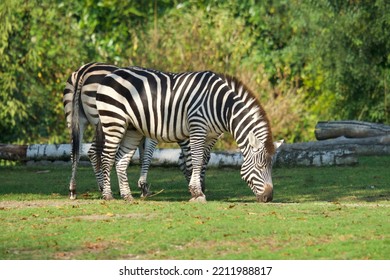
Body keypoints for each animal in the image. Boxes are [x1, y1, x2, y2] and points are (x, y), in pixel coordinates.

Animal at [94, 68, 284, 203]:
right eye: (260, 167)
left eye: (271, 167)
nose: (268, 198)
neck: (221, 106)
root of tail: (110, 74)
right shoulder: (197, 128)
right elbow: (196, 159)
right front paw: (197, 192)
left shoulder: (210, 135)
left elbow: (202, 160)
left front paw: (196, 189)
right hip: (114, 122)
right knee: (107, 157)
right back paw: (108, 195)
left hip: (132, 128)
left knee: (121, 160)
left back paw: (127, 196)